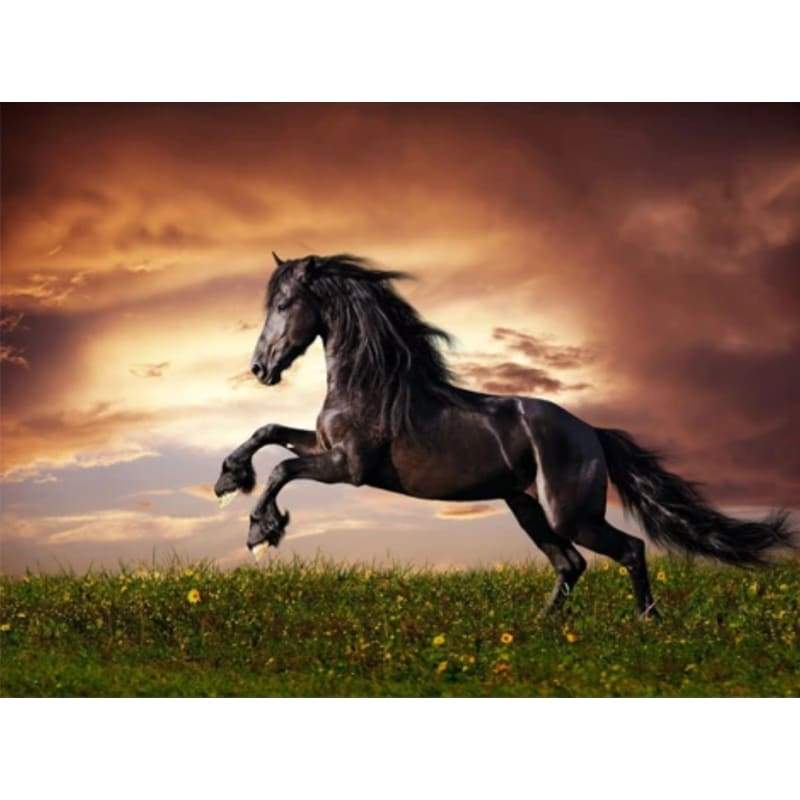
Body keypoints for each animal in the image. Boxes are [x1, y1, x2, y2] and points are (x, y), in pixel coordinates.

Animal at [214, 253, 794, 617]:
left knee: (628, 549)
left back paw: (647, 624)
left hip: (568, 513)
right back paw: (541, 629)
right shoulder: (328, 449)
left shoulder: (349, 468)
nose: (260, 368)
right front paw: (228, 480)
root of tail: (592, 433)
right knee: (571, 563)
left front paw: (261, 531)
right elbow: (269, 432)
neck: (372, 385)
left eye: (284, 306)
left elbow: (283, 467)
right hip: (527, 507)